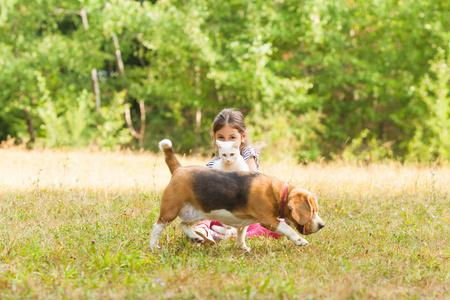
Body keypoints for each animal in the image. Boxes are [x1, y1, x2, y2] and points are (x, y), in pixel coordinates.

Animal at [150, 139, 324, 250]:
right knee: (157, 226)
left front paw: (243, 248)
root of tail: (179, 169)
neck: (277, 193)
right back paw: (153, 246)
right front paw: (300, 240)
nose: (322, 225)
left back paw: (197, 237)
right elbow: (287, 228)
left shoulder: (245, 221)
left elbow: (241, 234)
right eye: (312, 211)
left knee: (183, 225)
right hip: (170, 210)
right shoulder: (268, 220)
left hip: (198, 213)